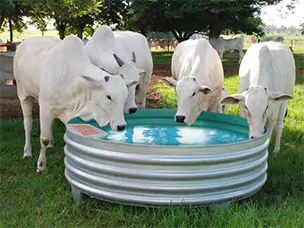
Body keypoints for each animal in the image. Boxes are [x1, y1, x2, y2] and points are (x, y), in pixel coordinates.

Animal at [13, 35, 129, 171]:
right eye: (108, 97)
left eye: (125, 96)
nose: (122, 126)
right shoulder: (45, 107)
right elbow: (44, 139)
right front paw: (41, 165)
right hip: (23, 95)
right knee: (27, 124)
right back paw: (27, 152)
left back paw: (50, 145)